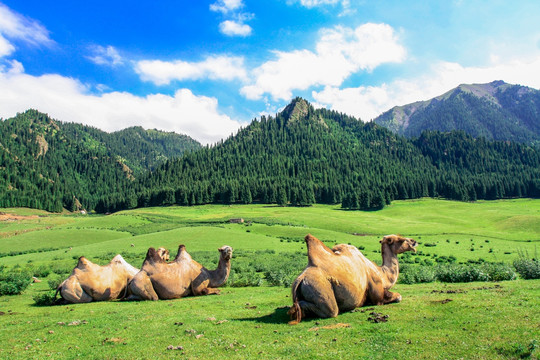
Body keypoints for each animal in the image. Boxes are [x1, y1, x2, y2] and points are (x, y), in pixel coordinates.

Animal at [286, 233, 418, 324]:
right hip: (319, 287)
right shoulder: (377, 294)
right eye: (400, 240)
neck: (382, 274)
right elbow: (398, 297)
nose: (414, 242)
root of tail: (301, 279)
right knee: (331, 310)